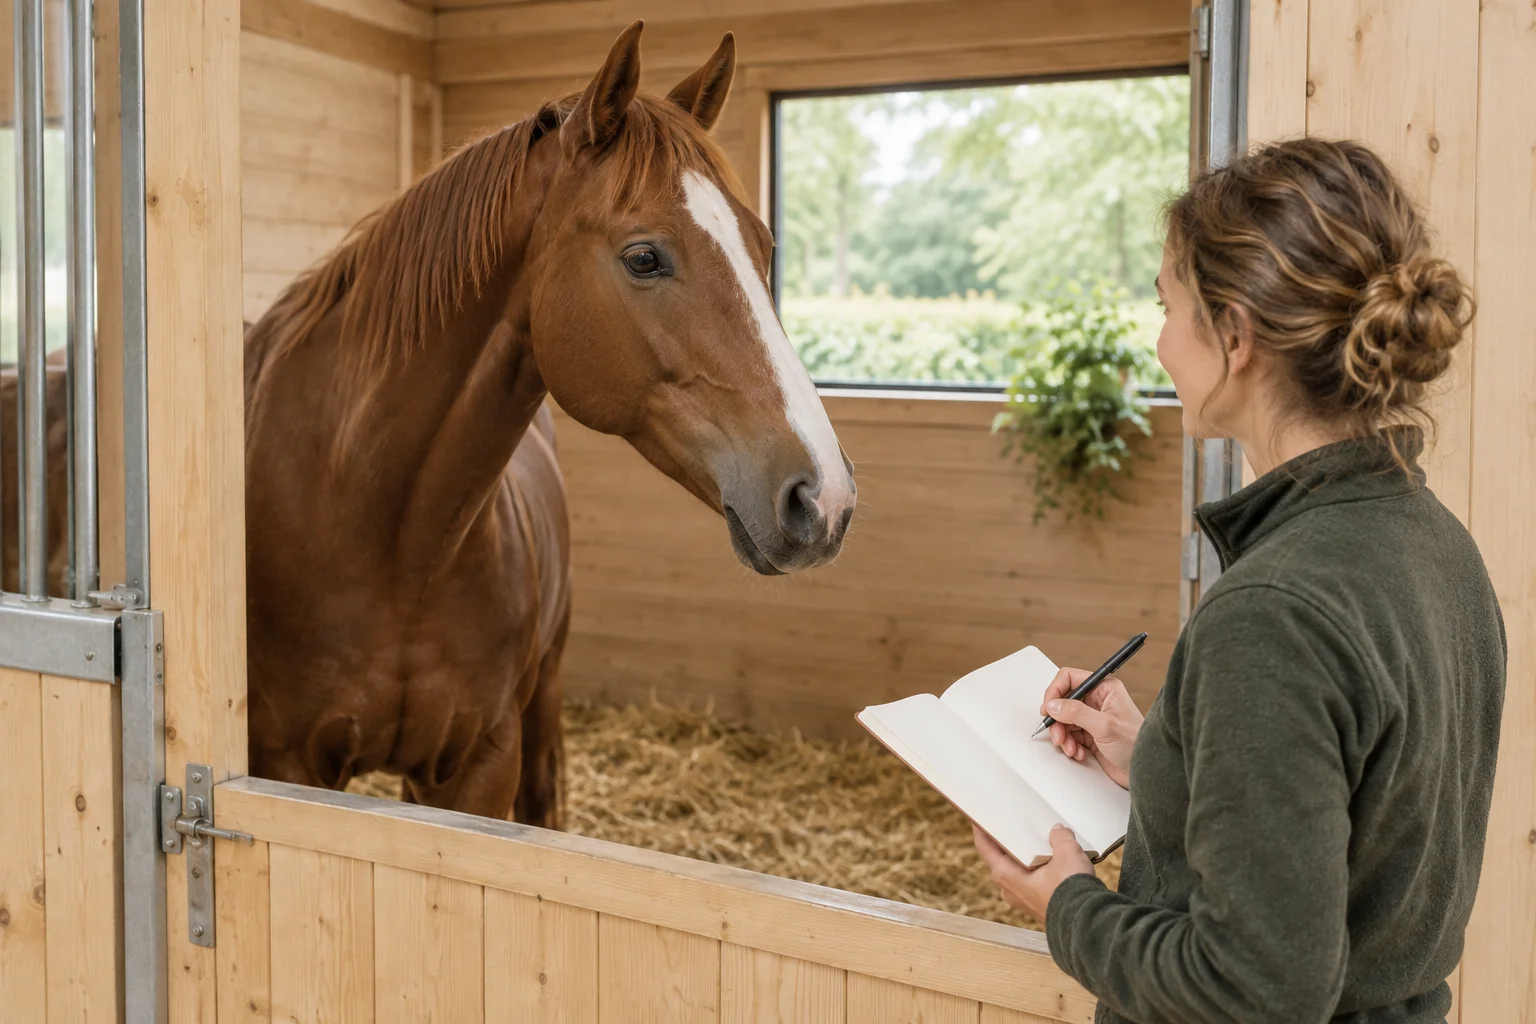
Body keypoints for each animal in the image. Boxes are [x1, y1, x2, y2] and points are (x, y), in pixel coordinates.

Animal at [239, 20, 856, 825]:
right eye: (644, 257)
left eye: (764, 245)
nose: (825, 498)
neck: (373, 528)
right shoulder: (286, 763)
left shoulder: (480, 763)